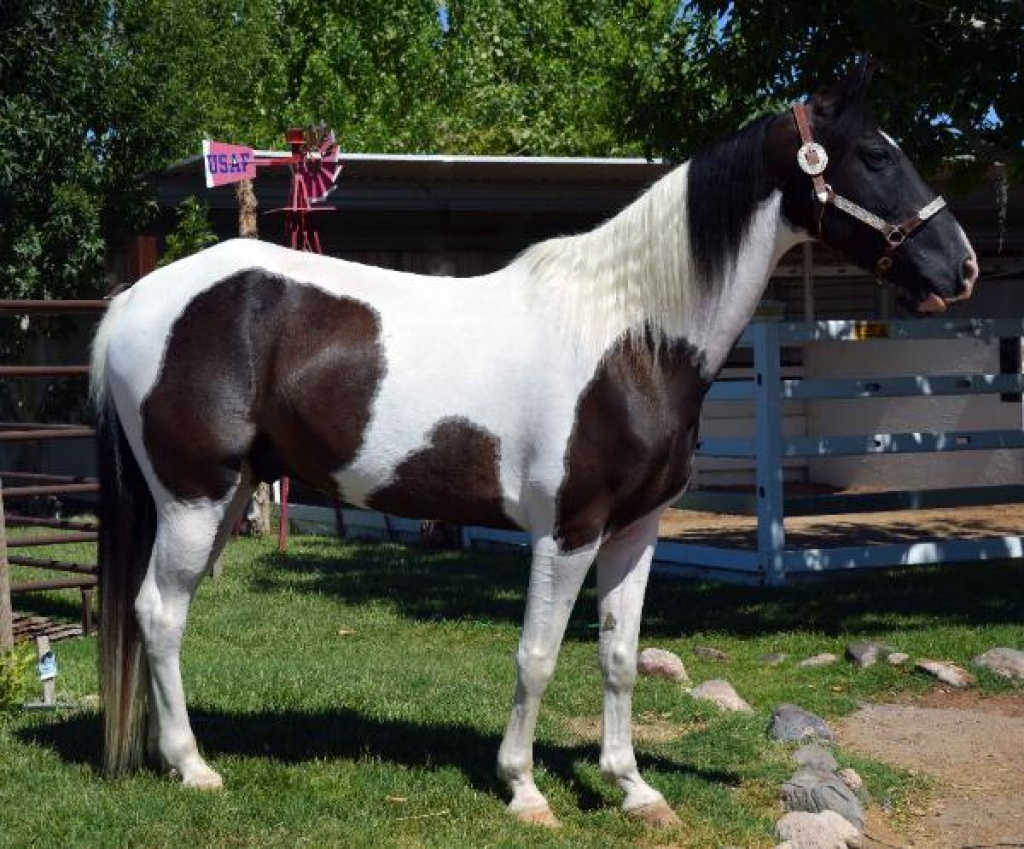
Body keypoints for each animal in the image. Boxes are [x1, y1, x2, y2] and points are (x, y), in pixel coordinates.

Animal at [91, 58, 977, 828]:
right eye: (875, 155)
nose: (961, 267)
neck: (631, 336)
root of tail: (137, 298)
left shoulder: (636, 529)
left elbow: (620, 655)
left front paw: (635, 789)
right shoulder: (568, 530)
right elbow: (538, 654)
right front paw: (523, 788)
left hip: (225, 496)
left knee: (165, 614)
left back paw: (166, 756)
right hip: (194, 497)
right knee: (158, 613)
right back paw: (194, 766)